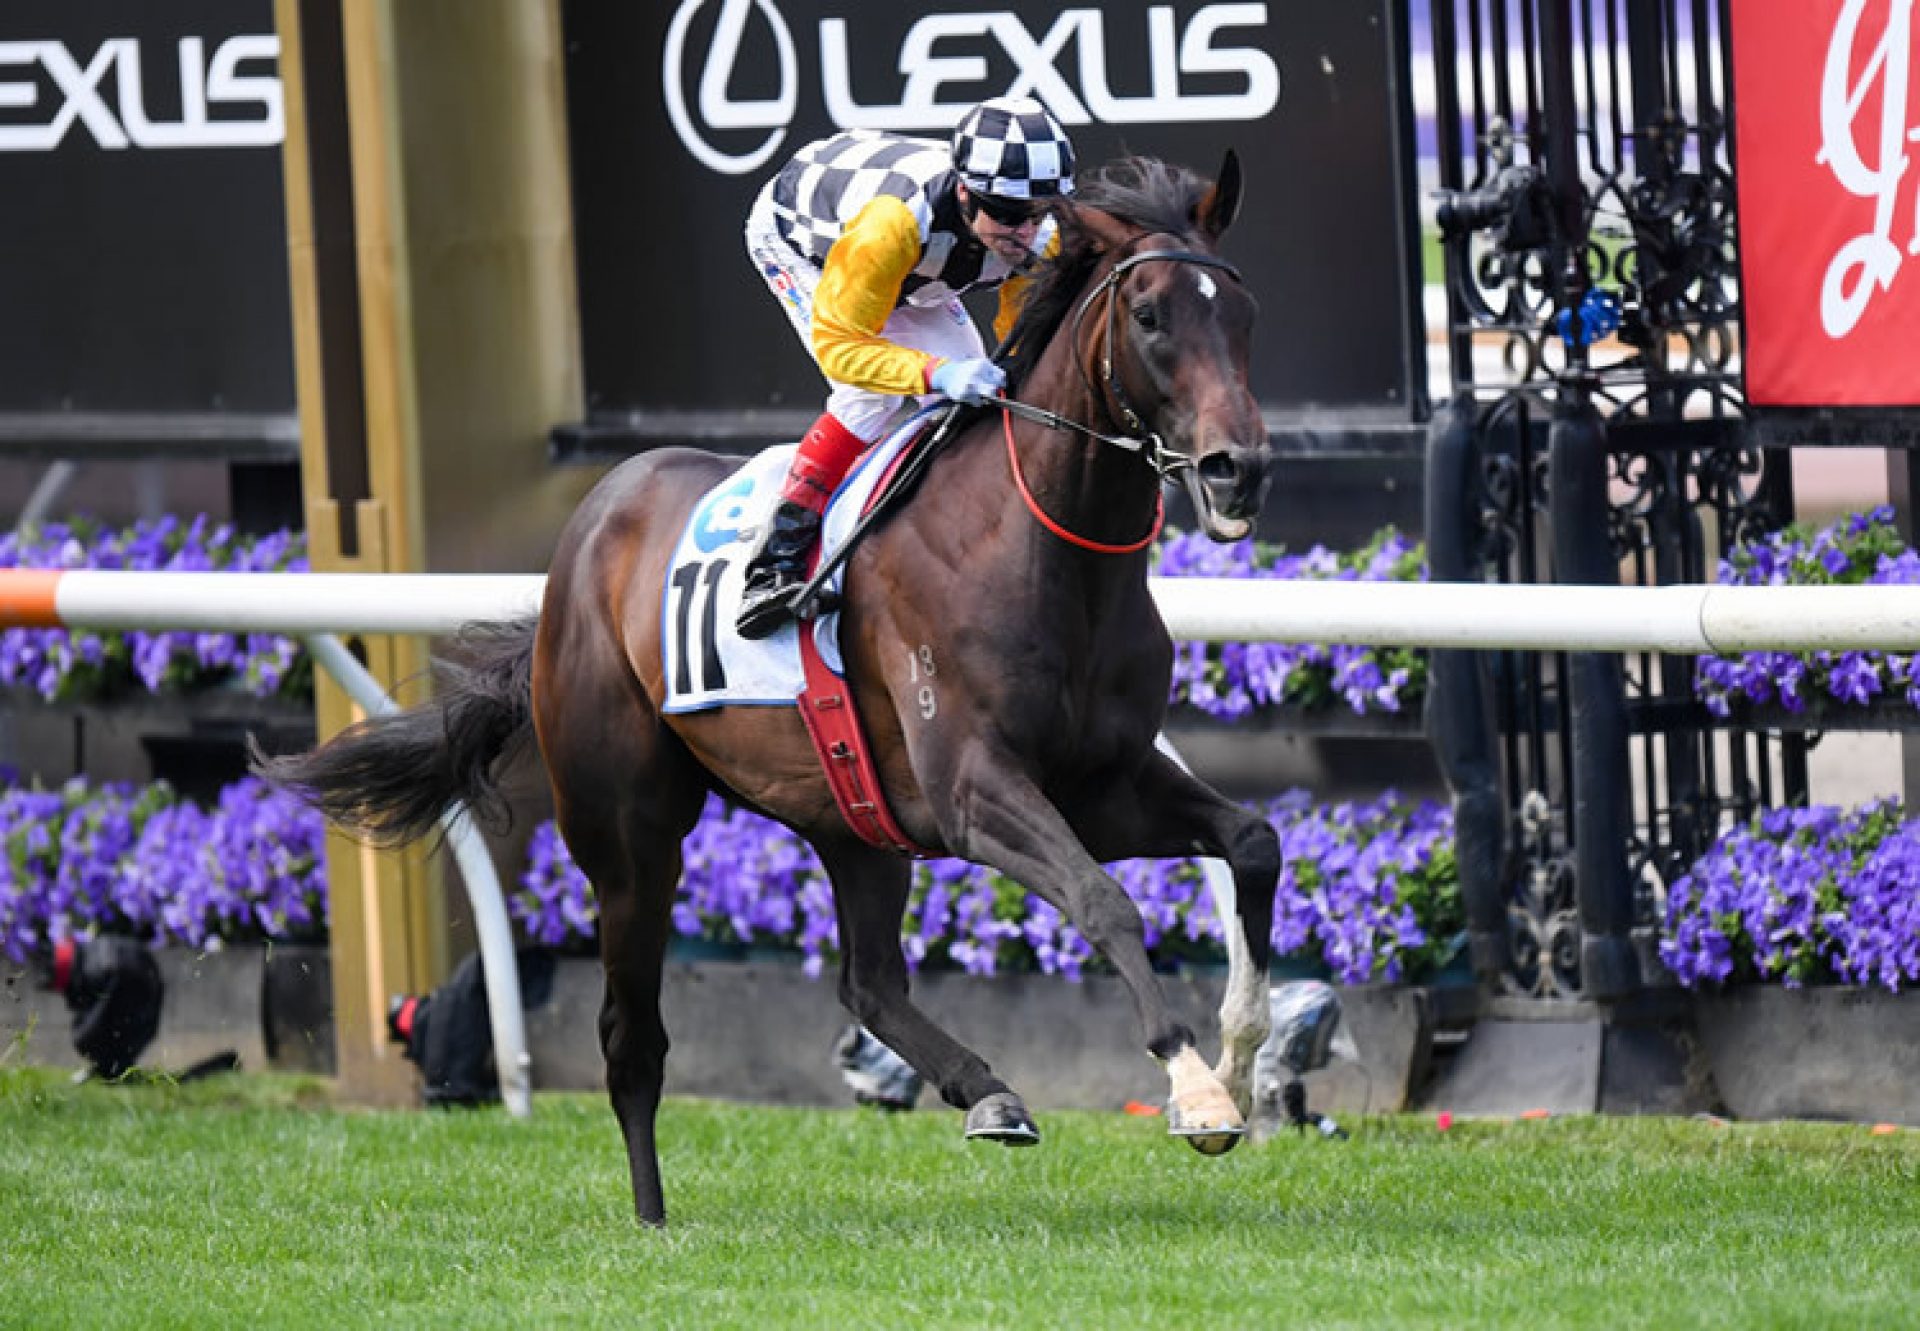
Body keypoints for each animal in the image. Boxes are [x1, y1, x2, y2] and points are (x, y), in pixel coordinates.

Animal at [263, 150, 1282, 1221]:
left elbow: (1252, 843)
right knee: (632, 1036)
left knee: (867, 981)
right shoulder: (977, 790)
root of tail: (582, 541)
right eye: (1151, 316)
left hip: (854, 817)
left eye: (1244, 314)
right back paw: (652, 1215)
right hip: (628, 837)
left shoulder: (1103, 784)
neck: (1035, 545)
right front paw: (1195, 1089)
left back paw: (987, 1092)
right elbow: (1104, 901)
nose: (1238, 468)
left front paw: (1239, 1062)